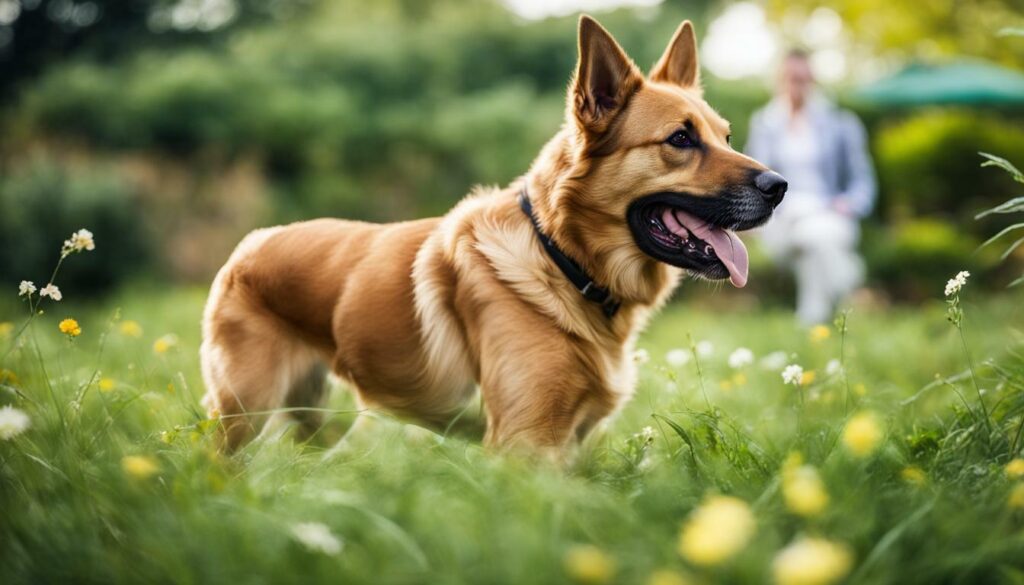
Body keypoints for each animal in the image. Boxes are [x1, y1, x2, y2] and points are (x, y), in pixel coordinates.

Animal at [201, 14, 790, 456]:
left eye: (726, 137)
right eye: (680, 140)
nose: (781, 186)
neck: (562, 261)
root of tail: (253, 243)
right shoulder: (528, 444)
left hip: (312, 419)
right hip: (244, 415)